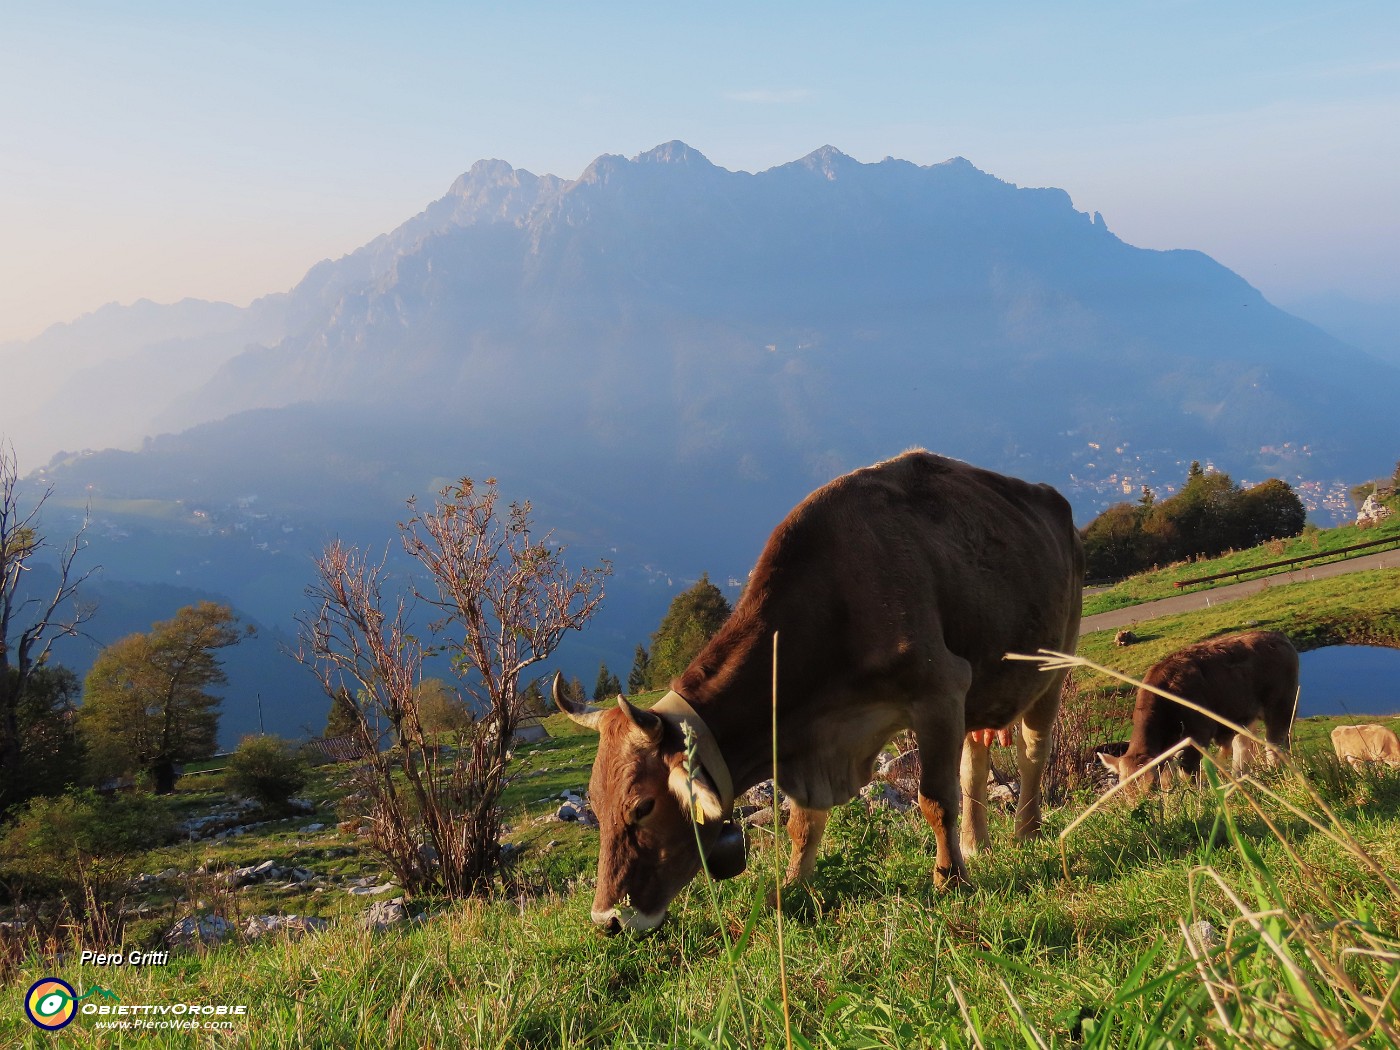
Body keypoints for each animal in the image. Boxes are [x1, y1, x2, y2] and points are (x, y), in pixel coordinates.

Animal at [554, 453, 1080, 935]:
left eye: (641, 807)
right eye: (595, 803)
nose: (608, 919)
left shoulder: (941, 689)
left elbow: (934, 798)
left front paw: (950, 880)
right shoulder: (810, 740)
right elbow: (802, 825)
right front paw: (790, 888)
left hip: (1054, 665)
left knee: (1033, 753)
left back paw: (1025, 833)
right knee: (976, 758)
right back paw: (975, 842)